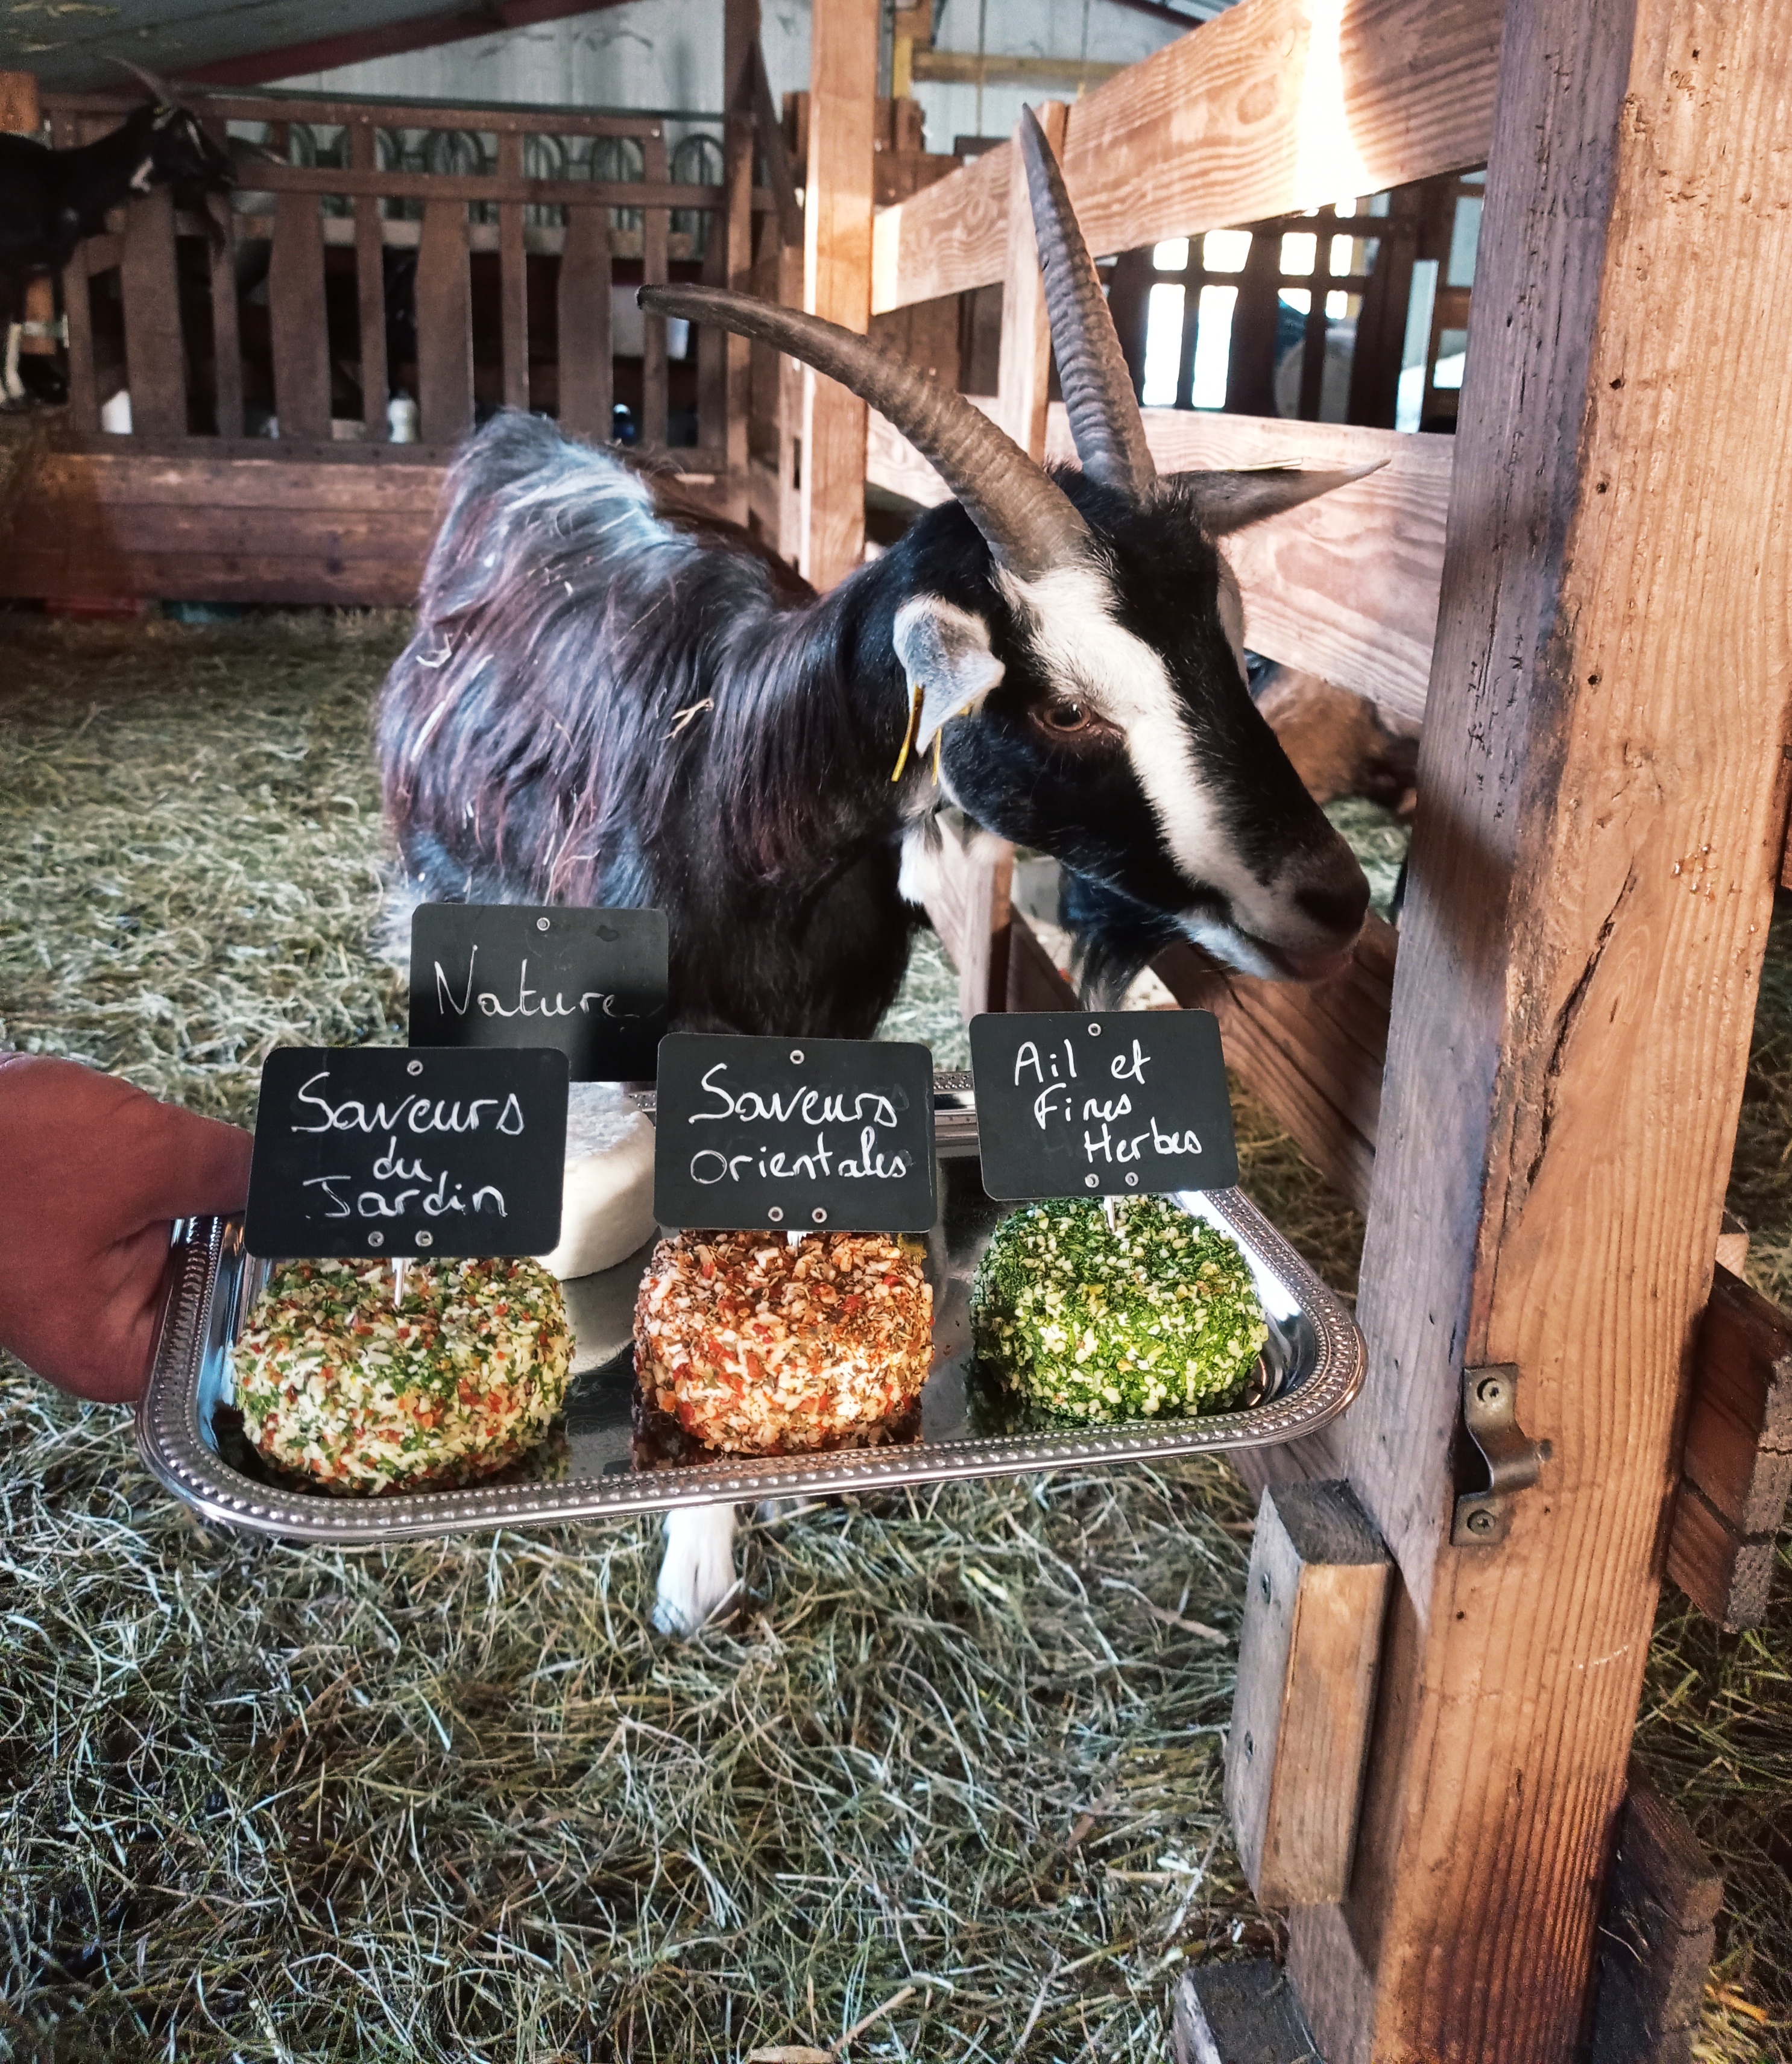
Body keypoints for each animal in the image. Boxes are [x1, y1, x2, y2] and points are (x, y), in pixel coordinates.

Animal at [0, 63, 232, 410]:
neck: (63, 181)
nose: (228, 170)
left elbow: (14, 322)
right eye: (181, 132)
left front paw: (16, 393)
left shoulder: (26, 271)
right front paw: (6, 397)